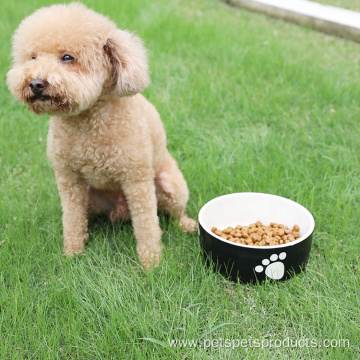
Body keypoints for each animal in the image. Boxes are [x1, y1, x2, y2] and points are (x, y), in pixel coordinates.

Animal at [6, 2, 197, 268]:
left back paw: (188, 225)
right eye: (32, 57)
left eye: (68, 57)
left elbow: (147, 224)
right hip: (90, 197)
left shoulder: (137, 180)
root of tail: (119, 208)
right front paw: (72, 253)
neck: (87, 123)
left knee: (175, 213)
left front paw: (151, 262)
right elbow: (72, 219)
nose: (35, 83)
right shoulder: (69, 180)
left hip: (172, 186)